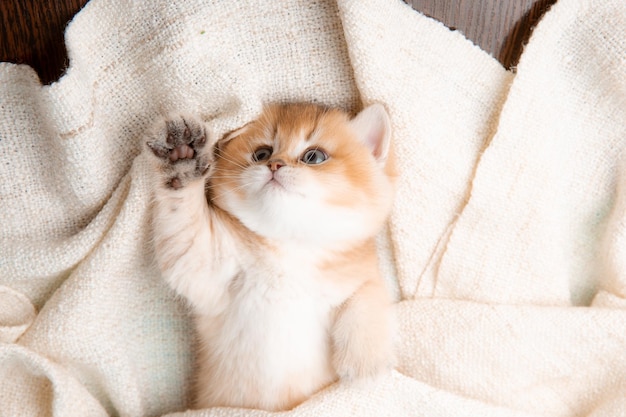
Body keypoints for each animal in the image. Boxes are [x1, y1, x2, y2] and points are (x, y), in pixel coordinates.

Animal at [145, 103, 394, 410]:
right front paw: (182, 155)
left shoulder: (359, 273)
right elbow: (183, 219)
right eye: (262, 153)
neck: (289, 250)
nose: (274, 165)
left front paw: (365, 364)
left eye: (314, 156)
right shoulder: (200, 260)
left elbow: (369, 292)